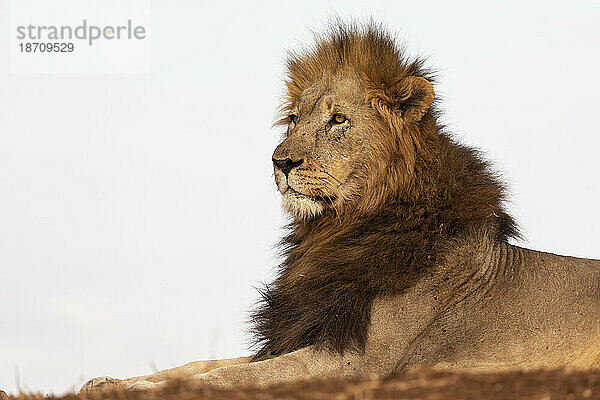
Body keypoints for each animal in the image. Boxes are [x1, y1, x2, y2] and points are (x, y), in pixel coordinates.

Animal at [81, 20, 600, 392]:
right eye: (293, 119)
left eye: (337, 121)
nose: (280, 161)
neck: (335, 229)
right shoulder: (305, 333)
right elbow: (199, 363)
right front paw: (109, 381)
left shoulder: (356, 360)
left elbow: (229, 375)